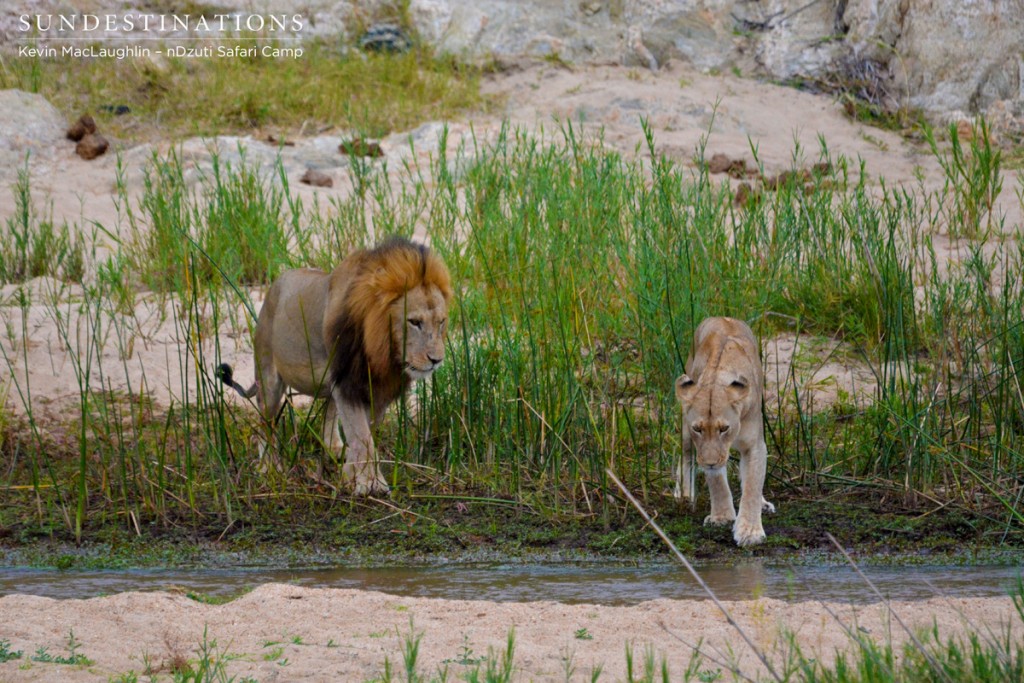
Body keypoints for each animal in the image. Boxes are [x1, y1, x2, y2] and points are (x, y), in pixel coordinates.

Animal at [217, 237, 452, 493]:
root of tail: (272, 288)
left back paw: (336, 451)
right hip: (268, 376)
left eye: (441, 322)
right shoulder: (346, 383)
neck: (383, 351)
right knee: (264, 424)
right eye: (415, 322)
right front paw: (370, 484)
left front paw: (351, 475)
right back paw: (269, 466)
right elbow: (362, 436)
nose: (436, 360)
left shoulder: (374, 390)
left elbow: (363, 434)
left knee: (328, 422)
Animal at [671, 317, 774, 548]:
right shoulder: (703, 448)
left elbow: (752, 484)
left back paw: (763, 504)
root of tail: (721, 317)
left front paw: (750, 531)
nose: (709, 462)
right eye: (698, 428)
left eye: (724, 428)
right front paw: (722, 517)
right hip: (684, 427)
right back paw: (684, 495)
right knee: (686, 456)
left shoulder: (755, 444)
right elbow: (717, 482)